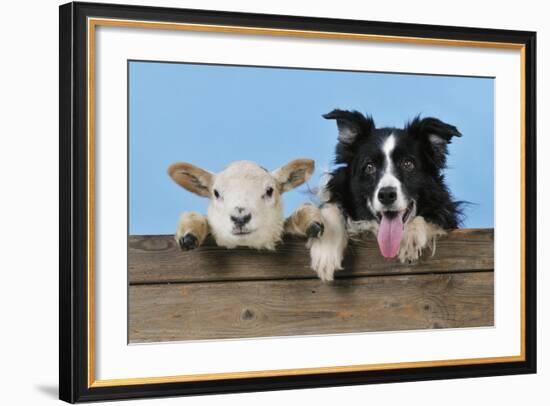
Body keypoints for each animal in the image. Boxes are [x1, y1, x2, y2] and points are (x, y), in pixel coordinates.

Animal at [308, 109, 464, 280]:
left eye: (408, 164)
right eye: (369, 167)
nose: (387, 195)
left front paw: (410, 237)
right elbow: (332, 207)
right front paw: (326, 254)